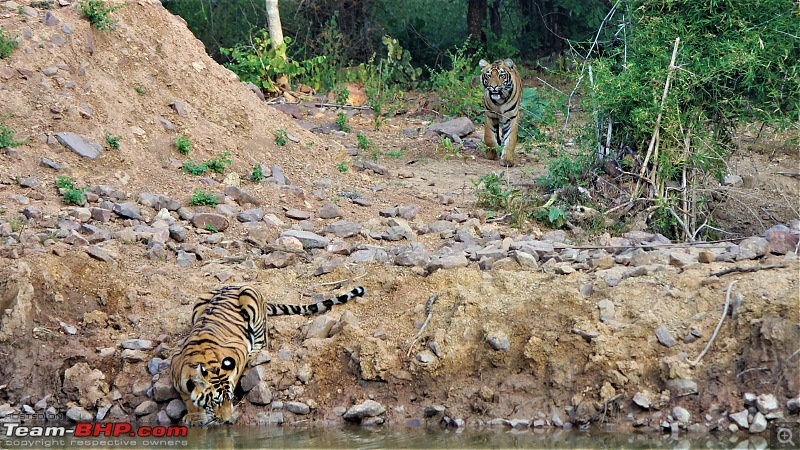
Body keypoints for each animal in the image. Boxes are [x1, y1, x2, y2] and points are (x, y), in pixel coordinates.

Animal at [173, 284, 368, 426]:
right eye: (216, 402)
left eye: (229, 399)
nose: (228, 420)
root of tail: (234, 284)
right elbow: (187, 399)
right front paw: (194, 416)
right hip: (199, 301)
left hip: (250, 299)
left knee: (261, 339)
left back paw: (253, 355)